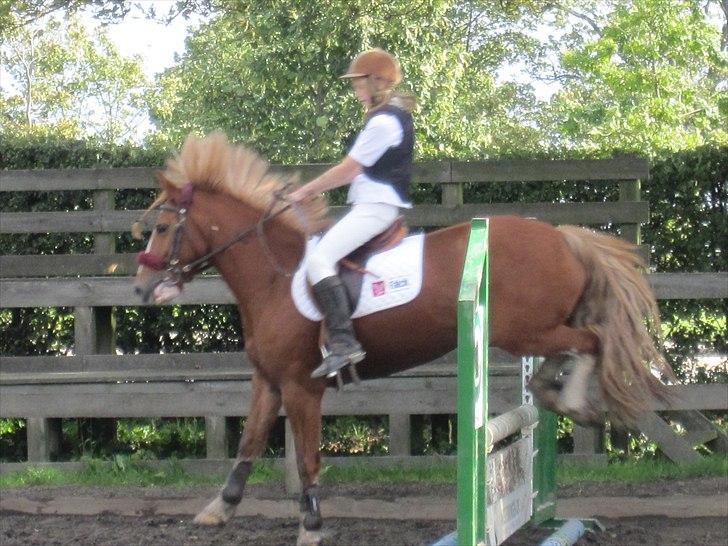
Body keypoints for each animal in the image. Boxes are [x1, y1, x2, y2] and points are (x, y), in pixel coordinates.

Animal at [134, 131, 672, 540]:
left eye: (160, 228)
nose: (140, 288)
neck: (273, 277)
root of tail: (562, 236)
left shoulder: (301, 387)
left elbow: (307, 457)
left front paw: (311, 525)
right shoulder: (268, 381)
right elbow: (247, 443)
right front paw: (220, 508)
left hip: (522, 330)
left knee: (592, 342)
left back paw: (572, 399)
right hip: (530, 331)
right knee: (572, 349)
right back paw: (549, 390)